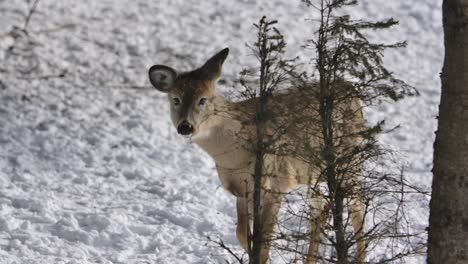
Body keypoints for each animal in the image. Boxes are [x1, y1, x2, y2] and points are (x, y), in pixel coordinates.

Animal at [148, 48, 368, 262]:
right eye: (175, 99)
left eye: (203, 100)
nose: (185, 126)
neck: (235, 155)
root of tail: (352, 90)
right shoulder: (241, 190)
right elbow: (243, 235)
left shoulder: (276, 183)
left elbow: (264, 243)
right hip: (314, 173)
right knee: (320, 209)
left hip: (349, 160)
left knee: (357, 205)